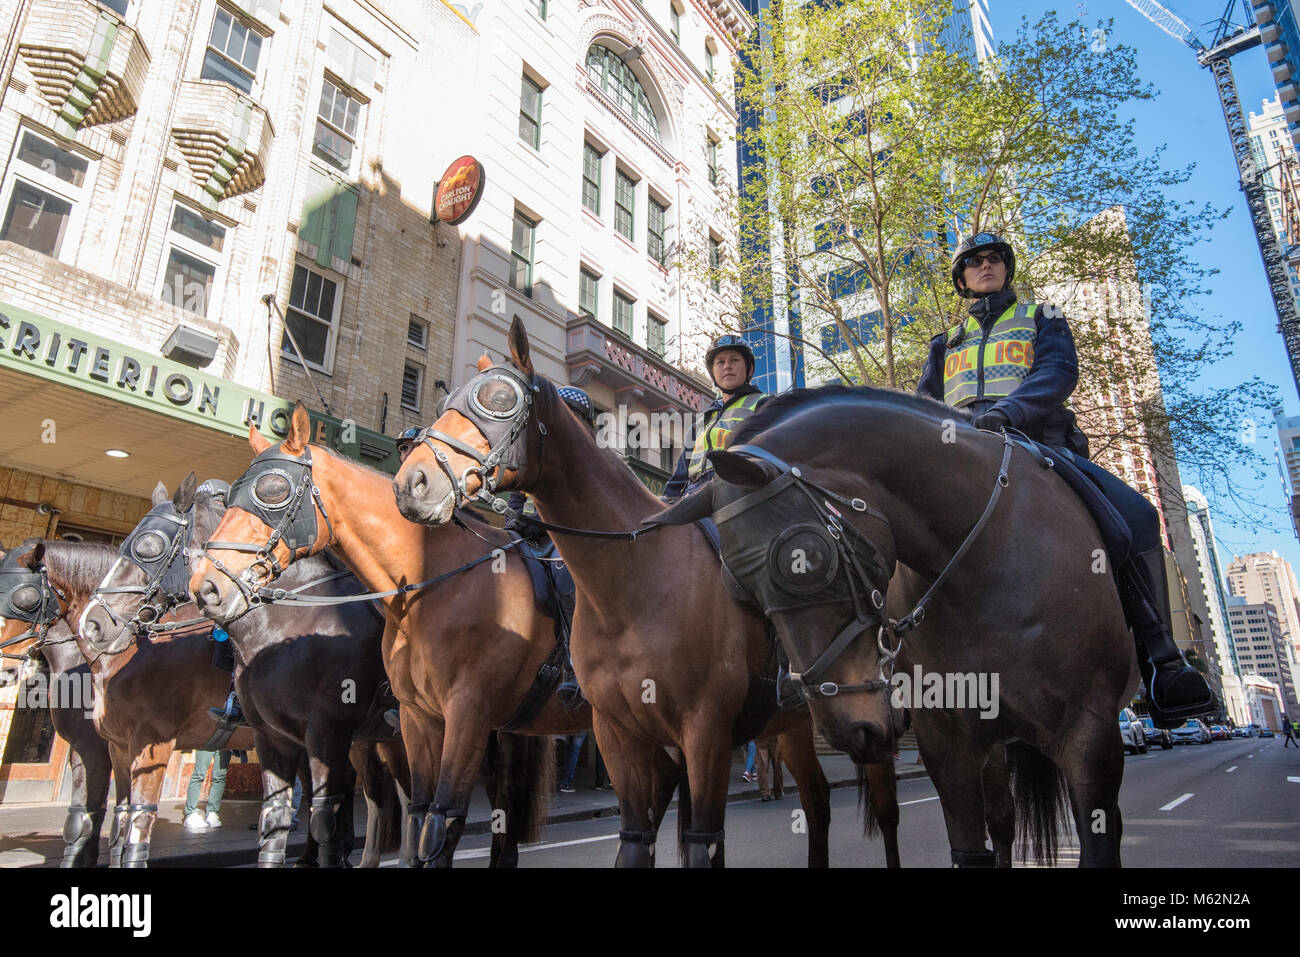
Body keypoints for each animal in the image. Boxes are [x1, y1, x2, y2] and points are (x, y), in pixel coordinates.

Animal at [79, 478, 410, 868]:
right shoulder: (273, 737)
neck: (290, 621)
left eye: (149, 546)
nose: (93, 623)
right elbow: (274, 822)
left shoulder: (327, 732)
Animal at [187, 408, 585, 868]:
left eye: (272, 490)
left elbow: (419, 823)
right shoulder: (304, 735)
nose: (207, 587)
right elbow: (288, 822)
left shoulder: (438, 720)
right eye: (231, 495)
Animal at [392, 319, 904, 868]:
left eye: (500, 399)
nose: (412, 484)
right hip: (789, 726)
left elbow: (703, 841)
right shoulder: (620, 736)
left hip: (866, 719)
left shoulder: (705, 732)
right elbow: (637, 840)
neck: (631, 583)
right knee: (817, 801)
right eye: (447, 400)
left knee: (884, 809)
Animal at [660, 387, 1138, 868]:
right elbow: (969, 846)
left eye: (804, 557)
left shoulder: (1090, 734)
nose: (849, 728)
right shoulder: (947, 744)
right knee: (1002, 819)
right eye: (738, 588)